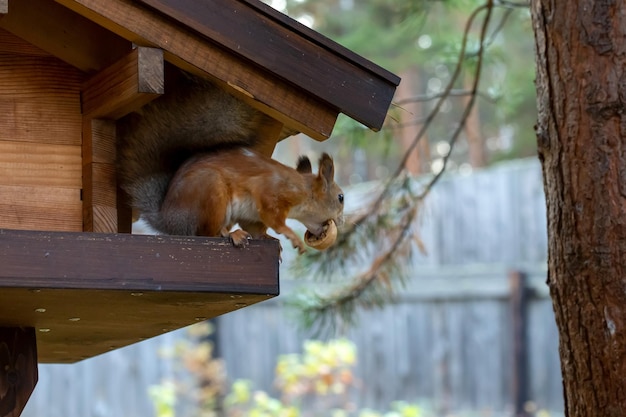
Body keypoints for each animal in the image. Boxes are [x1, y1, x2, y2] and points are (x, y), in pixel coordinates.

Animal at [116, 68, 342, 252]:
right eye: (340, 197)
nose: (340, 221)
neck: (303, 190)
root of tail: (169, 220)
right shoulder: (270, 191)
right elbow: (274, 217)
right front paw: (290, 235)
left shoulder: (251, 214)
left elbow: (255, 227)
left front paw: (269, 239)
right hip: (211, 192)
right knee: (208, 233)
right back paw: (230, 234)